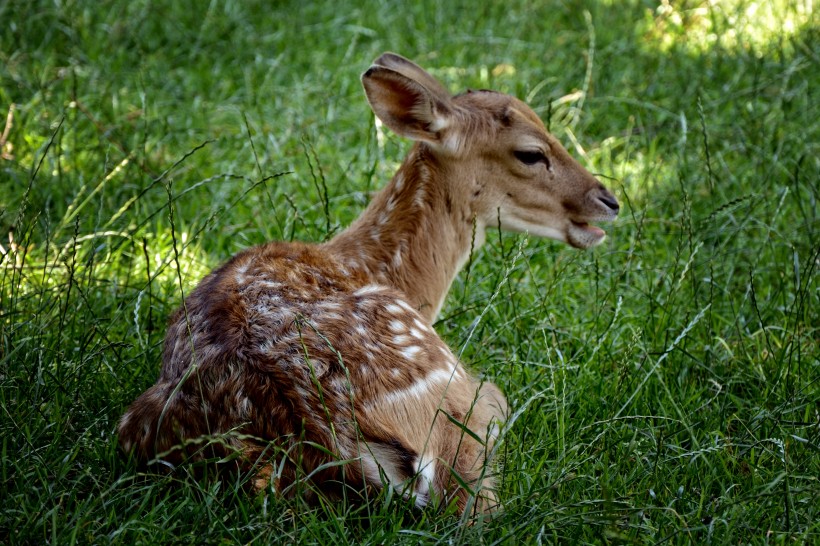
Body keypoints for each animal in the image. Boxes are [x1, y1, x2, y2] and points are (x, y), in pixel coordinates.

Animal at [118, 53, 620, 516]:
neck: (373, 266)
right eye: (531, 152)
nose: (609, 201)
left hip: (139, 424)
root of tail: (327, 443)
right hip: (462, 401)